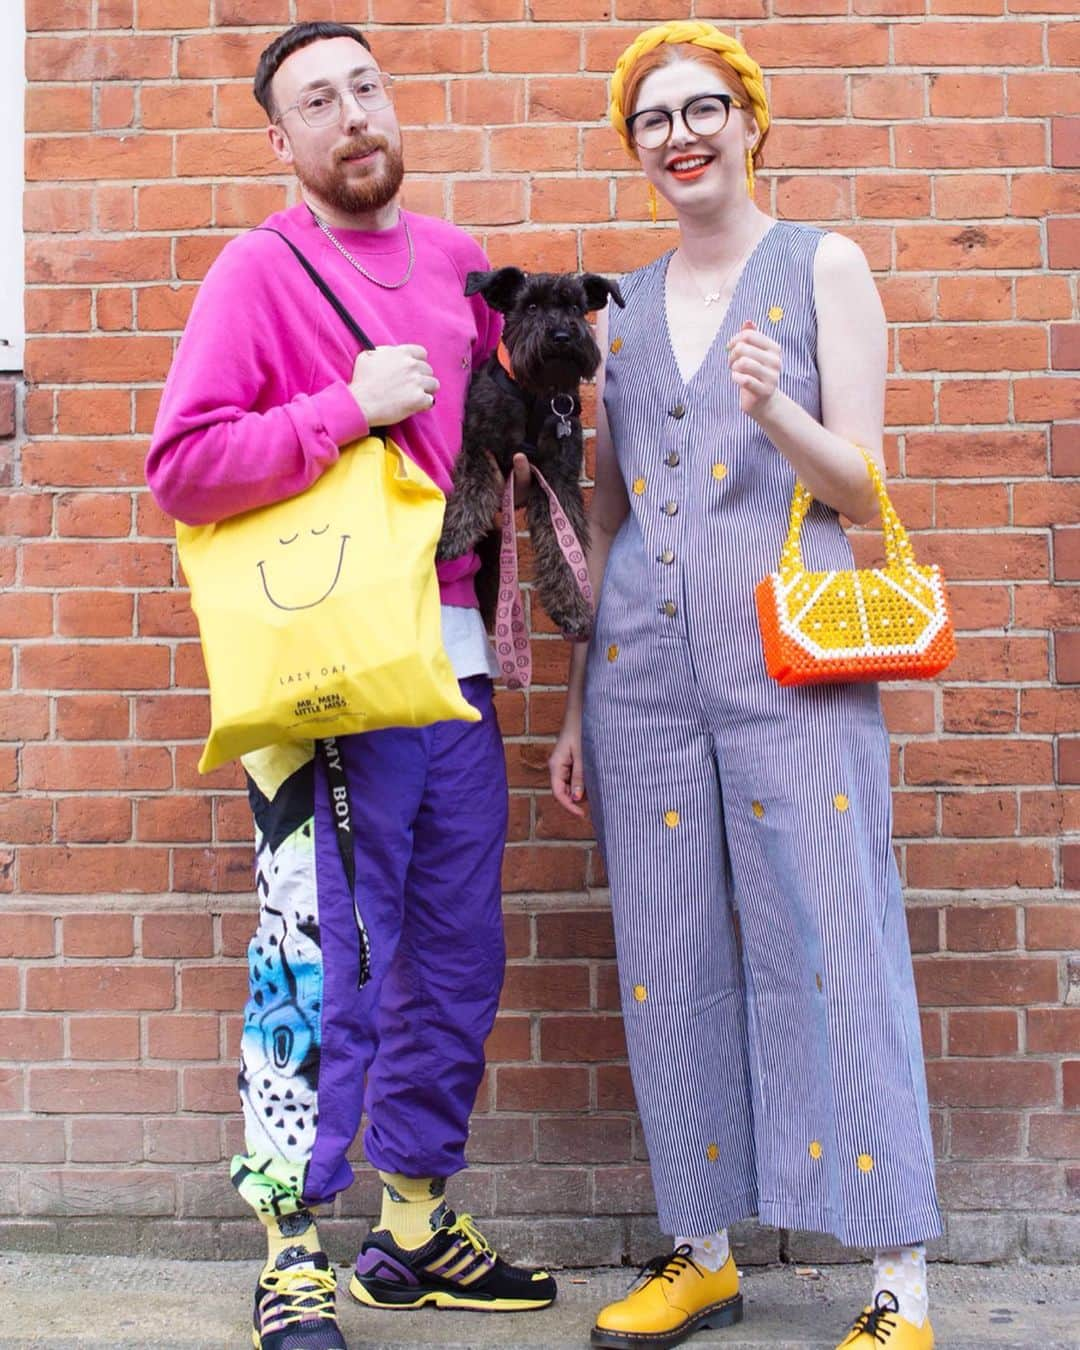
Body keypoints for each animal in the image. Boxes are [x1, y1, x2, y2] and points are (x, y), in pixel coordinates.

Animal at [434, 268, 623, 642]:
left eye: (576, 307)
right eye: (531, 306)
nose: (562, 336)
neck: (533, 392)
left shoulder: (556, 475)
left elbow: (563, 541)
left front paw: (572, 607)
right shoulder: (479, 444)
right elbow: (472, 487)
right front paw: (452, 534)